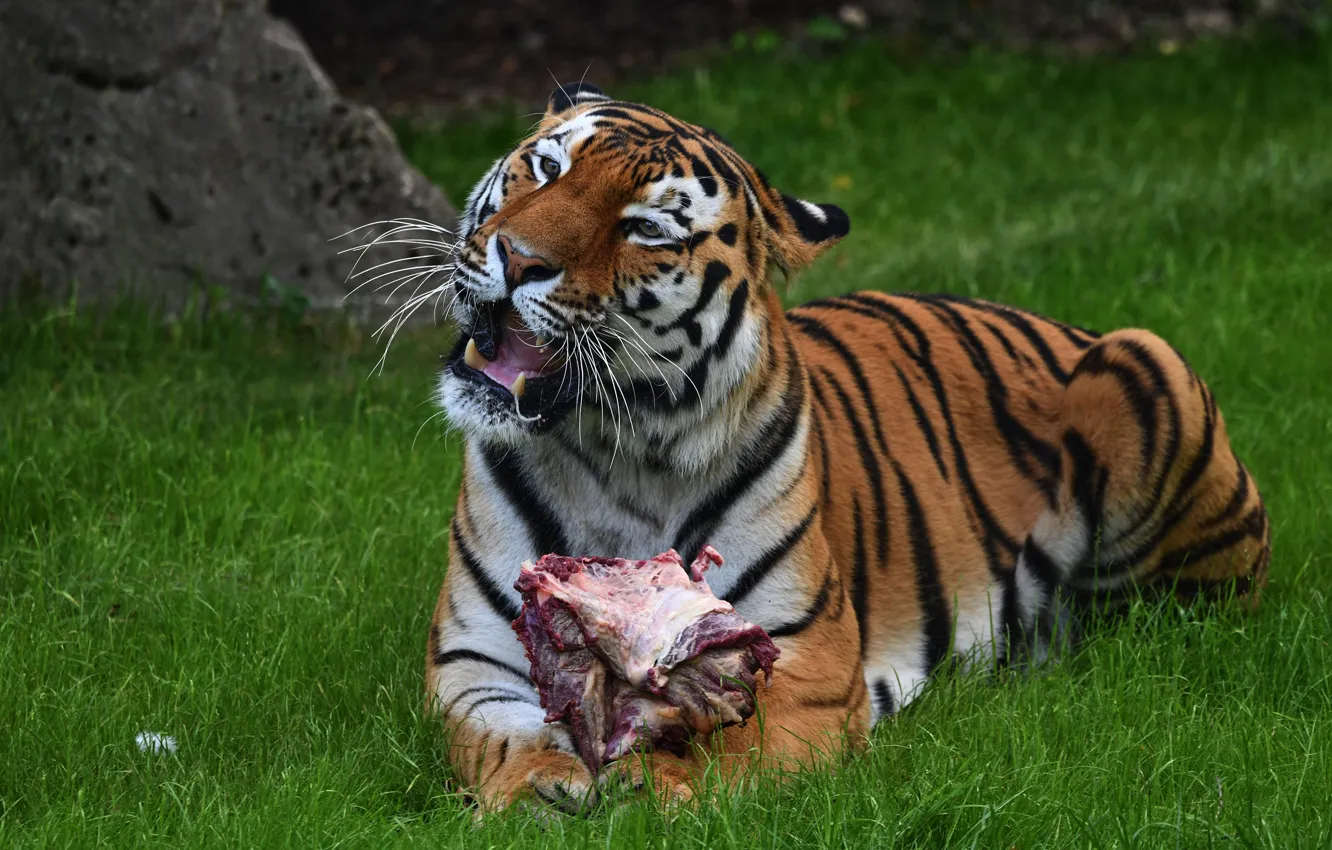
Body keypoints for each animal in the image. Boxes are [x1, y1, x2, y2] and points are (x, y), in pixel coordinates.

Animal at [422, 81, 1271, 816]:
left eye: (646, 228)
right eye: (548, 167)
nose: (518, 258)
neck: (613, 454)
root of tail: (1065, 323)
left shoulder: (808, 667)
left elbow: (729, 752)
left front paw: (655, 790)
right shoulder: (473, 662)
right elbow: (510, 741)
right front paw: (540, 792)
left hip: (1149, 368)